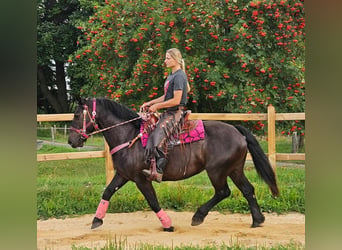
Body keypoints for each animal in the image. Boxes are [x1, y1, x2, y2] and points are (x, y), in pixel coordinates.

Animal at [68, 96, 280, 231]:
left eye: (77, 115)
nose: (71, 140)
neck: (129, 137)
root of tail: (237, 131)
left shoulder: (141, 179)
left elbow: (153, 201)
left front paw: (168, 225)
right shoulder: (123, 175)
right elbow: (107, 192)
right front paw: (96, 220)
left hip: (217, 171)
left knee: (223, 191)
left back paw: (198, 216)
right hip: (234, 170)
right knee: (248, 190)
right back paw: (257, 220)